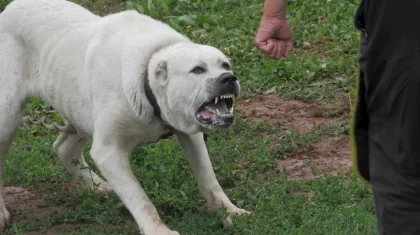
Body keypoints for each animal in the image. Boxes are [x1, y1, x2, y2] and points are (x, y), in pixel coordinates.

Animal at [0, 0, 249, 234]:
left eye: (225, 65)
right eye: (197, 70)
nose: (229, 78)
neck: (147, 81)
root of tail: (10, 8)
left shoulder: (191, 134)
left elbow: (209, 178)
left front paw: (231, 212)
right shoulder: (109, 151)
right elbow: (140, 199)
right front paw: (159, 230)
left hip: (79, 110)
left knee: (63, 147)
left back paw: (96, 186)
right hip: (8, 117)